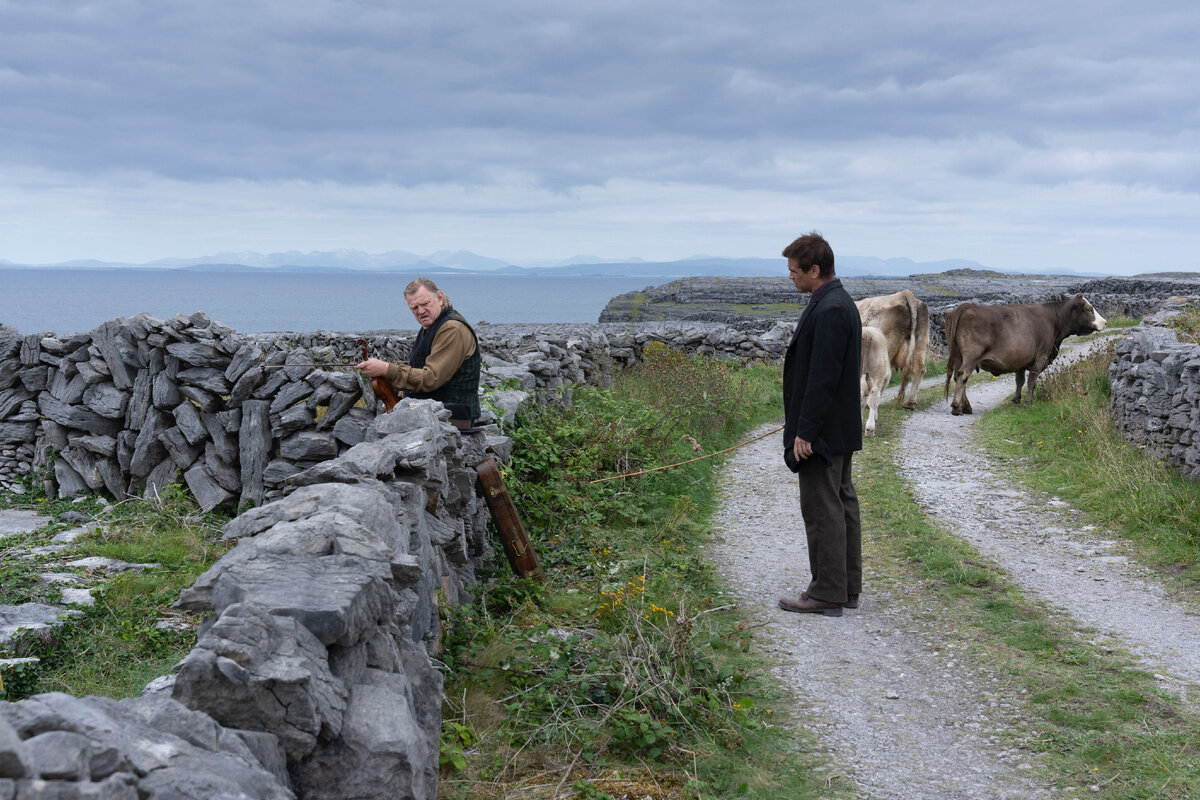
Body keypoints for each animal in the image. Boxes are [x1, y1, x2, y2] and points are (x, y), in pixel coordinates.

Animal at [945, 297, 1104, 417]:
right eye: (1089, 309)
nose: (1105, 322)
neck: (1053, 321)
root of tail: (967, 306)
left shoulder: (1020, 360)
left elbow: (1019, 381)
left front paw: (1016, 399)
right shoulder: (1040, 358)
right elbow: (1032, 382)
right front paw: (1029, 402)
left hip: (958, 356)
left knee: (957, 377)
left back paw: (966, 407)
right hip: (971, 356)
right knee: (963, 376)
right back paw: (957, 407)